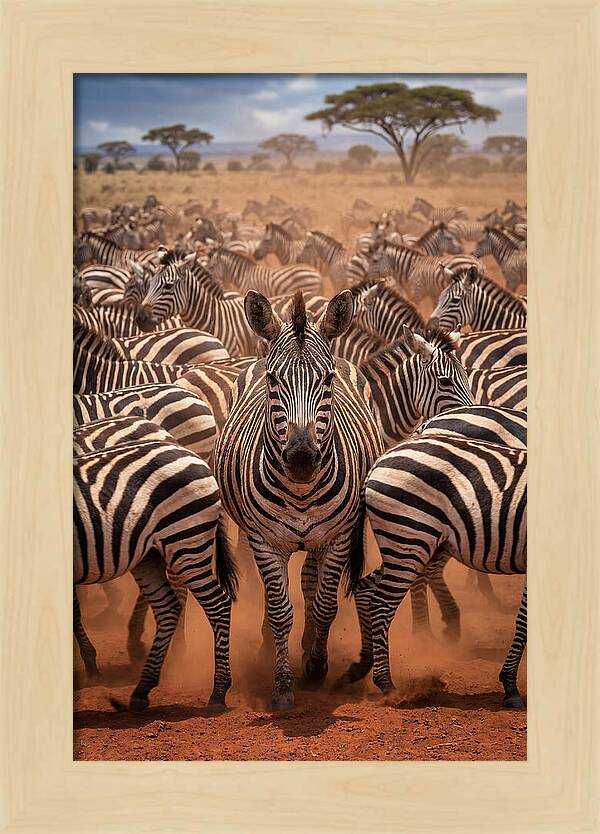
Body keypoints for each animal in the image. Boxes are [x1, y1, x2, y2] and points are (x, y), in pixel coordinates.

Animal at [74, 437, 238, 711]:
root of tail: (193, 455)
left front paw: (91, 665)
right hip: (149, 556)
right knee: (168, 607)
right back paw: (142, 689)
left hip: (186, 541)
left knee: (218, 605)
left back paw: (218, 692)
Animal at [215, 290, 384, 711]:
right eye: (274, 380)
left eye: (328, 380)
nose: (302, 459)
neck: (302, 492)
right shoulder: (264, 541)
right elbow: (279, 610)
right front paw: (282, 684)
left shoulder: (339, 537)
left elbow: (325, 604)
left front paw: (317, 666)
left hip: (323, 538)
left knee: (310, 580)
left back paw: (309, 646)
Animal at [340, 435, 527, 709]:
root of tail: (379, 461)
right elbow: (524, 620)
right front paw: (510, 686)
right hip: (409, 538)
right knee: (381, 604)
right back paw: (387, 685)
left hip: (407, 545)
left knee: (364, 588)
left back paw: (362, 665)